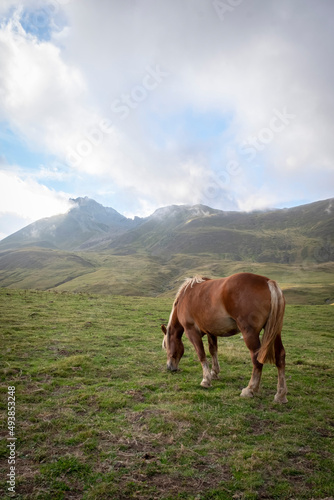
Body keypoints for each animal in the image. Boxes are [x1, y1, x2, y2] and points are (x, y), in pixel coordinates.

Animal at [162, 272, 288, 404]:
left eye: (166, 346)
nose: (170, 367)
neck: (186, 296)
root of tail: (268, 282)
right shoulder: (211, 332)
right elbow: (213, 351)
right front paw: (214, 372)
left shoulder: (192, 332)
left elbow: (201, 354)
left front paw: (206, 380)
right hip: (275, 332)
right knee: (280, 357)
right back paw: (280, 395)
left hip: (250, 334)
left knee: (256, 359)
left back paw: (250, 389)